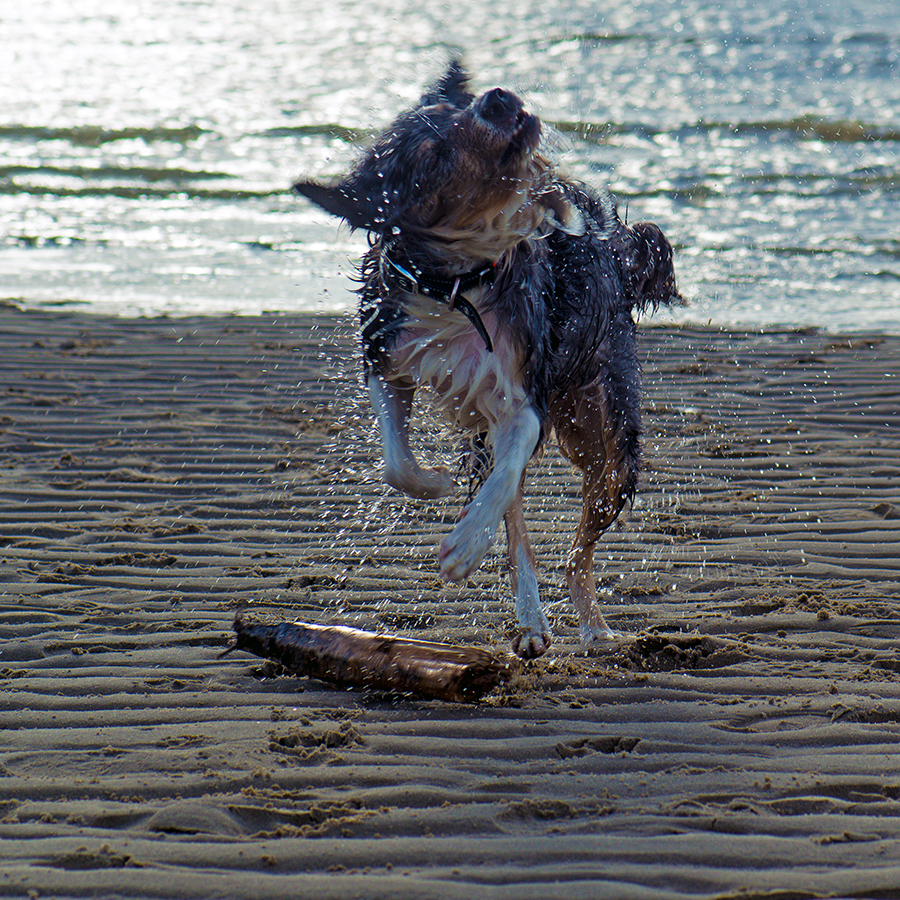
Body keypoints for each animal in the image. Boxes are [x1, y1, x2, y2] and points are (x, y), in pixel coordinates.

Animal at [296, 59, 684, 656]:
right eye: (432, 156)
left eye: (460, 108)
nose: (496, 98)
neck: (457, 285)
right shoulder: (386, 351)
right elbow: (396, 461)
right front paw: (435, 485)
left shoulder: (522, 394)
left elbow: (505, 471)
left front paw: (465, 545)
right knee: (521, 521)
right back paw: (532, 620)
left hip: (610, 442)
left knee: (576, 549)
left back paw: (588, 623)